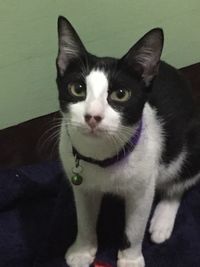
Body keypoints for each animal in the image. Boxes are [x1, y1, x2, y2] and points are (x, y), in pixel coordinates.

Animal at [55, 15, 200, 266]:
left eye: (120, 94)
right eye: (77, 89)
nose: (92, 116)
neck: (101, 158)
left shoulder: (142, 188)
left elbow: (135, 226)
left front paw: (130, 259)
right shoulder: (81, 182)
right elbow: (84, 217)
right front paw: (82, 250)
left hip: (189, 147)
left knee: (180, 179)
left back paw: (162, 219)